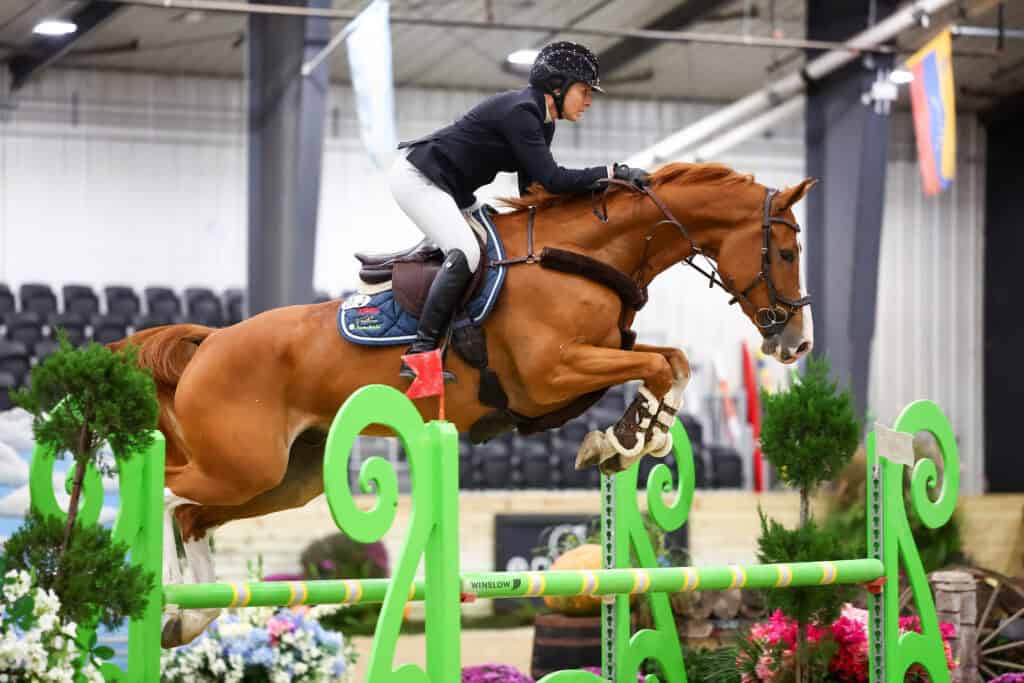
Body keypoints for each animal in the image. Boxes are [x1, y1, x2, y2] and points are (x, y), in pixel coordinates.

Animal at [110, 162, 816, 647]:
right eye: (785, 251)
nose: (794, 342)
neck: (583, 255)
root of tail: (210, 342)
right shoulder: (551, 373)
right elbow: (659, 364)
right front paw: (624, 439)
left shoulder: (584, 367)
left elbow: (673, 361)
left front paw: (635, 436)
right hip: (243, 465)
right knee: (168, 495)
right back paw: (165, 596)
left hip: (286, 478)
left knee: (194, 516)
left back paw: (188, 617)